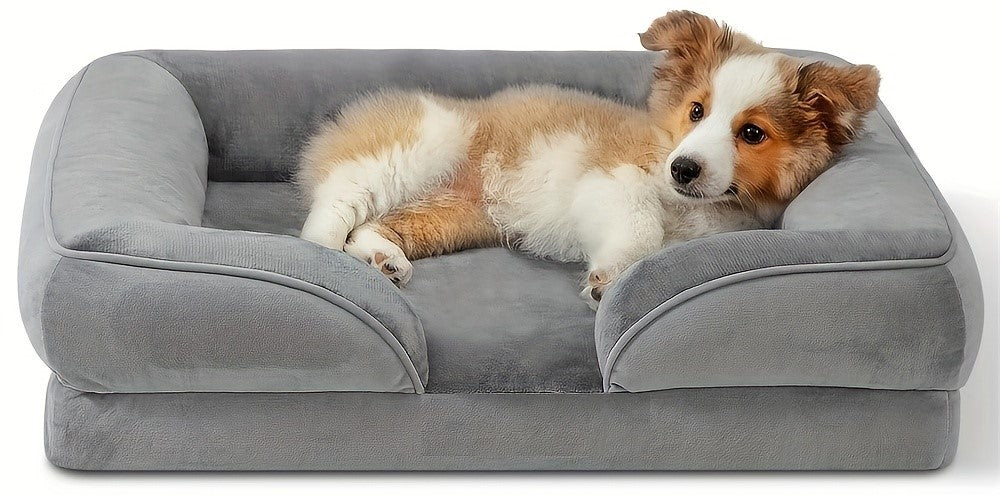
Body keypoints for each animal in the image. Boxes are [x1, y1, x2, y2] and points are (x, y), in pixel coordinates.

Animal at [294, 9, 876, 308]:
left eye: (752, 133)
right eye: (696, 111)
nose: (682, 169)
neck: (698, 205)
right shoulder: (613, 177)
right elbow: (641, 229)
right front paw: (609, 278)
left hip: (457, 217)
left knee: (371, 226)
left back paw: (383, 259)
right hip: (421, 144)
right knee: (332, 213)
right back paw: (326, 264)